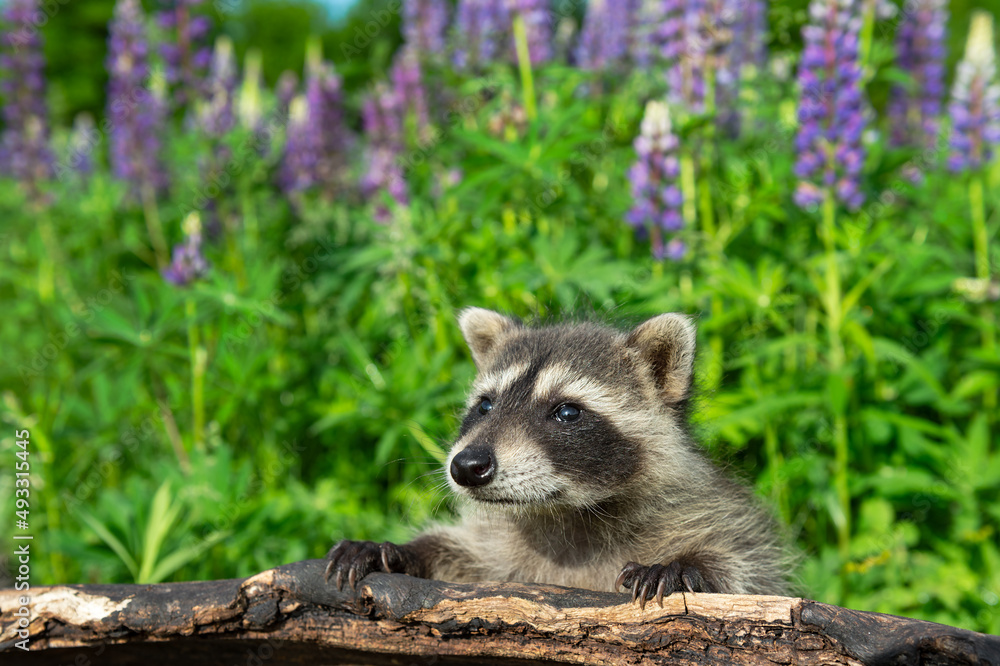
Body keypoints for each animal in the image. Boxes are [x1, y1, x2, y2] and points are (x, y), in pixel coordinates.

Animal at [326, 308, 789, 607]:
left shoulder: (716, 515)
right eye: (486, 405)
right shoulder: (503, 549)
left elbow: (748, 571)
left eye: (566, 412)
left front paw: (685, 565)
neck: (565, 514)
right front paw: (400, 550)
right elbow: (463, 556)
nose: (467, 467)